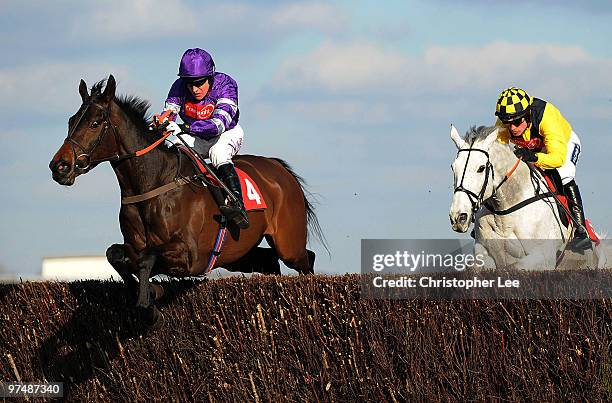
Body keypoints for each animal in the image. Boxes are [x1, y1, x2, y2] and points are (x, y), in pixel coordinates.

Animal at [50, 74, 326, 324]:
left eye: (95, 123)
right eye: (71, 121)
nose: (59, 166)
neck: (154, 182)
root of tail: (279, 169)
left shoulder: (189, 256)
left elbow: (147, 258)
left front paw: (150, 303)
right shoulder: (134, 246)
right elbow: (115, 255)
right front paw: (150, 291)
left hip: (288, 244)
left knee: (306, 259)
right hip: (237, 254)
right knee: (270, 261)